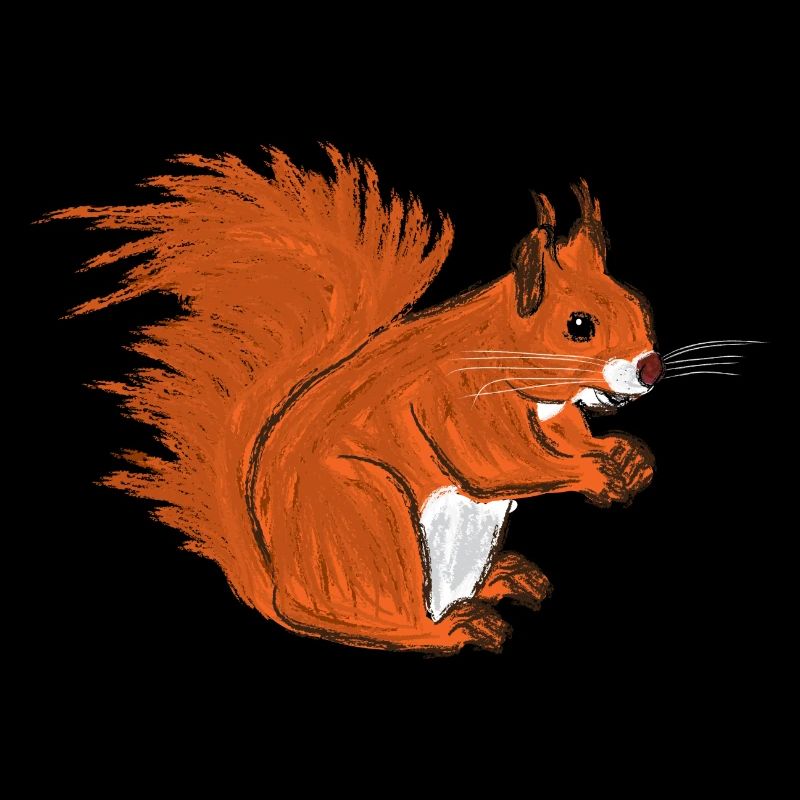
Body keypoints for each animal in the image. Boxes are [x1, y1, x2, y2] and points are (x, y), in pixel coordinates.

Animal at [54, 146, 660, 653]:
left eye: (639, 306)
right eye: (578, 326)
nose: (650, 368)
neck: (503, 354)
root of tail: (281, 596)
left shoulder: (550, 414)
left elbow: (563, 439)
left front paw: (624, 456)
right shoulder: (455, 400)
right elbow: (499, 463)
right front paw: (593, 473)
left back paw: (503, 579)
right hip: (372, 514)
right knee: (395, 624)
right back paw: (456, 628)